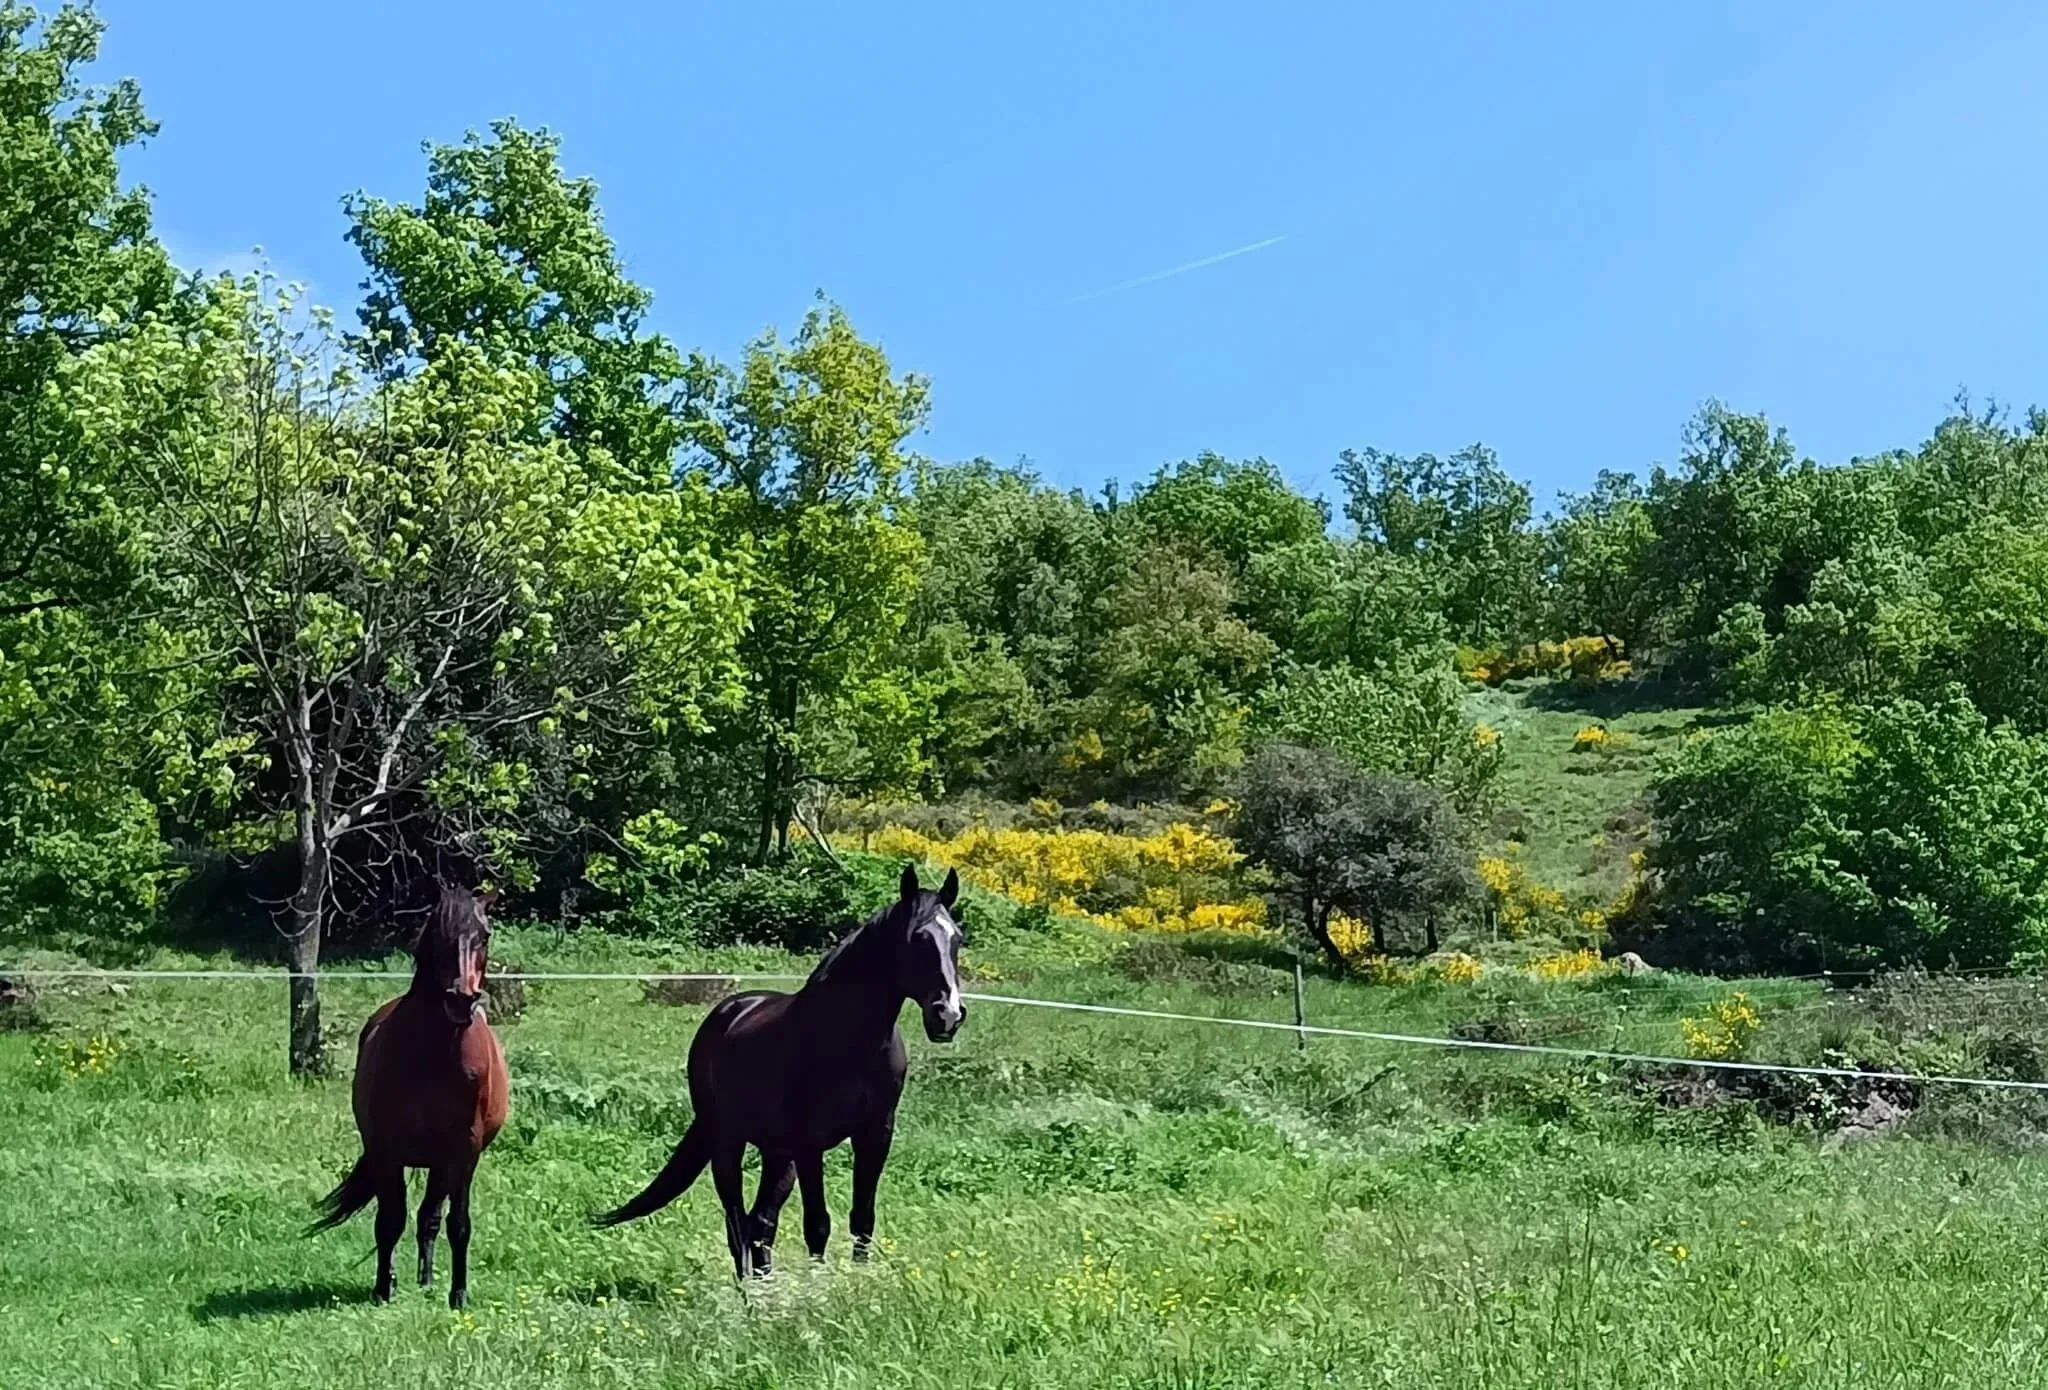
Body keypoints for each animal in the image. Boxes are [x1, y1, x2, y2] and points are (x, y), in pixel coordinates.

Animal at [307, 880, 510, 1309]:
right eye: (439, 934)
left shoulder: (463, 1153)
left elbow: (457, 1223)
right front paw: (384, 1288)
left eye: (484, 936)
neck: (436, 1057)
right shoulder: (386, 1150)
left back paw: (427, 1278)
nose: (461, 998)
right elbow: (389, 1220)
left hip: (441, 1165)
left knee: (430, 1216)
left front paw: (458, 1294)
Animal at [591, 863, 966, 1280]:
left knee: (760, 1223)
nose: (948, 1015)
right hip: (729, 1142)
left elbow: (862, 1218)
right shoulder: (808, 1144)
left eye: (957, 939)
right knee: (737, 1222)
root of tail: (727, 1012)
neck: (850, 1042)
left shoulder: (875, 1135)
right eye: (917, 938)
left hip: (777, 1155)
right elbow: (818, 1224)